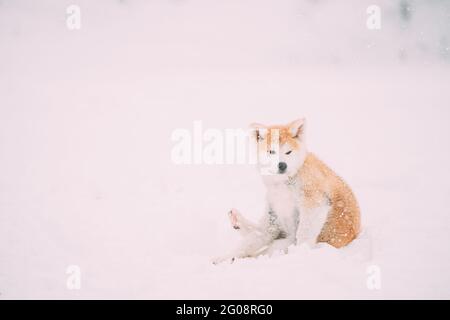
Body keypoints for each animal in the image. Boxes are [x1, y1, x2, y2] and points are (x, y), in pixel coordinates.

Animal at [213, 119, 360, 264]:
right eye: (271, 152)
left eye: (288, 152)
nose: (282, 165)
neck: (284, 183)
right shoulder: (274, 213)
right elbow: (253, 240)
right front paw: (222, 258)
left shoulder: (314, 203)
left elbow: (303, 234)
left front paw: (300, 253)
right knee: (255, 237)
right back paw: (235, 225)